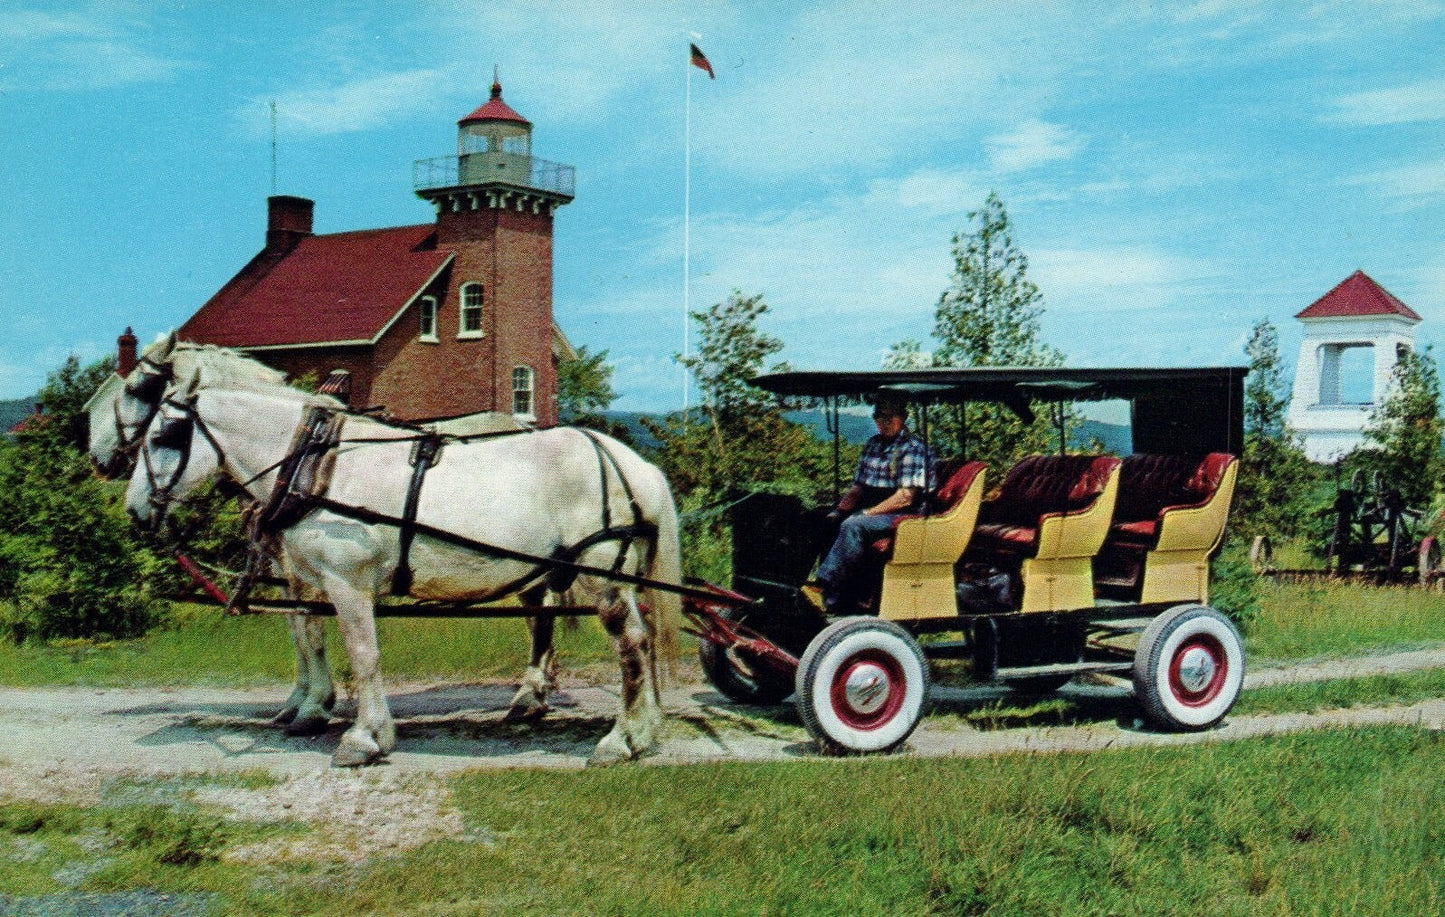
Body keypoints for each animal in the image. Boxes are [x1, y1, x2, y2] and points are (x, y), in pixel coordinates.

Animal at [87, 333, 338, 735]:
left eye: (136, 389)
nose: (97, 457)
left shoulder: (299, 565)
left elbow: (309, 626)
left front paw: (316, 705)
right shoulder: (280, 561)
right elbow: (296, 628)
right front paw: (298, 700)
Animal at [124, 348, 683, 766]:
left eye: (163, 435)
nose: (133, 509)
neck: (318, 464)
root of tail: (635, 465)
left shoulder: (345, 580)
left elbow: (361, 653)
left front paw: (363, 738)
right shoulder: (310, 579)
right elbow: (314, 638)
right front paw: (320, 714)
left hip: (602, 574)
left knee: (631, 643)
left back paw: (621, 739)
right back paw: (638, 728)